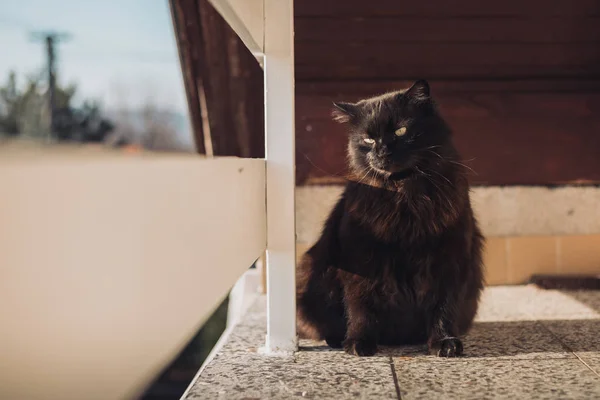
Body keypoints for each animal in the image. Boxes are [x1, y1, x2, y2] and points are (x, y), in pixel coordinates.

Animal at [298, 80, 486, 356]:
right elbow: (360, 307)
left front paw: (444, 342)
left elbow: (443, 307)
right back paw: (338, 340)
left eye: (400, 130)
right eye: (367, 138)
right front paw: (359, 342)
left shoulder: (449, 258)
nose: (382, 151)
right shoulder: (360, 260)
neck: (404, 195)